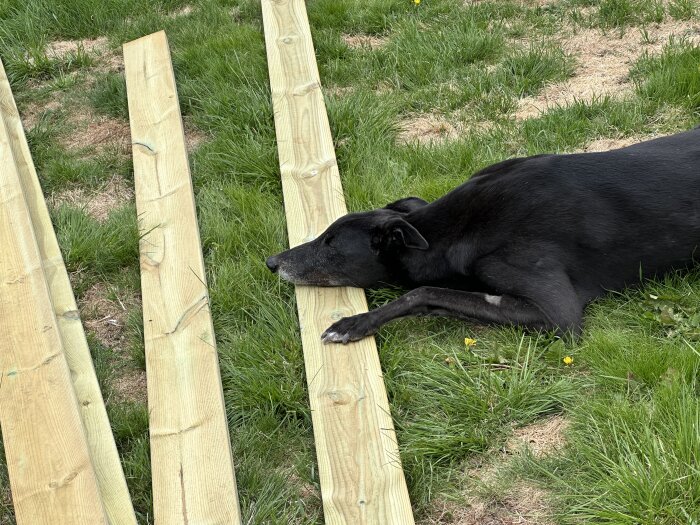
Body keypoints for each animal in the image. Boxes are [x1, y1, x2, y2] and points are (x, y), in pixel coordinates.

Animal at [266, 127, 700, 344]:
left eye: (330, 244)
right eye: (324, 232)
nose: (271, 262)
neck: (456, 229)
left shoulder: (558, 313)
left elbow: (422, 292)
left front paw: (354, 323)